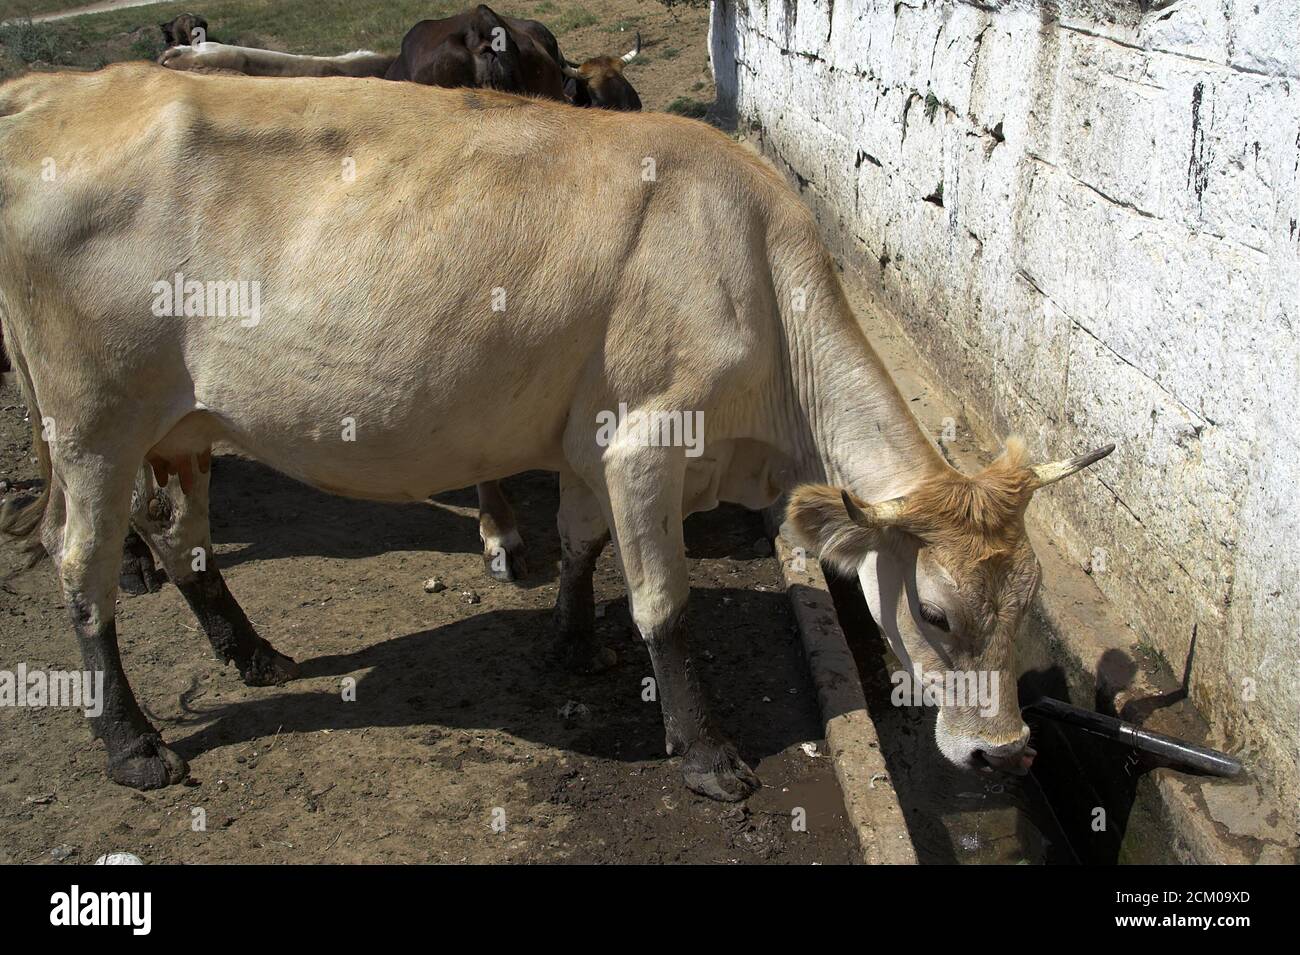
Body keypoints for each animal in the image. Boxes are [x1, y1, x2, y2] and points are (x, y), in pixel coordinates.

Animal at [2, 65, 1118, 800]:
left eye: (1027, 608)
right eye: (932, 612)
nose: (1005, 752)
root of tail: (61, 92)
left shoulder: (593, 437)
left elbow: (583, 545)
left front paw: (574, 645)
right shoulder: (649, 440)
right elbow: (666, 602)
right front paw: (705, 753)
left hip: (180, 424)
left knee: (180, 535)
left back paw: (253, 652)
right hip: (90, 417)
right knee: (82, 565)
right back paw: (132, 743)